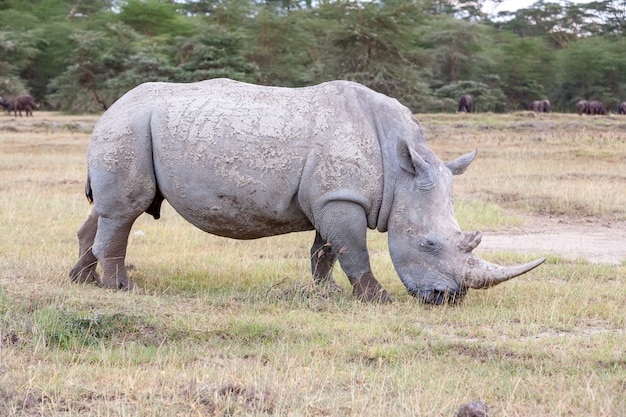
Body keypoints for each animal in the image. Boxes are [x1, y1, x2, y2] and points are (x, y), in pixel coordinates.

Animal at [69, 79, 540, 302]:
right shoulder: (342, 196)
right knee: (125, 211)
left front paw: (325, 293)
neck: (401, 172)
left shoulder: (331, 196)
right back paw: (120, 289)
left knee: (109, 211)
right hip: (129, 126)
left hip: (130, 127)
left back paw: (82, 281)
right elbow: (353, 250)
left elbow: (325, 250)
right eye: (428, 244)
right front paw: (378, 299)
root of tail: (111, 107)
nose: (449, 299)